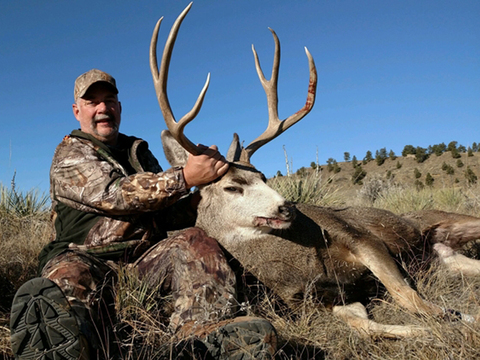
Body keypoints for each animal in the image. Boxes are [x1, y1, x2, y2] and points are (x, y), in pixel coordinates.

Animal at [150, 3, 480, 338]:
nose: (287, 207)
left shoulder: (361, 238)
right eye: (232, 187)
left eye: (263, 176)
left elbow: (408, 297)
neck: (297, 263)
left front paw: (459, 319)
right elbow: (366, 325)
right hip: (446, 256)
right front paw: (443, 325)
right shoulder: (324, 298)